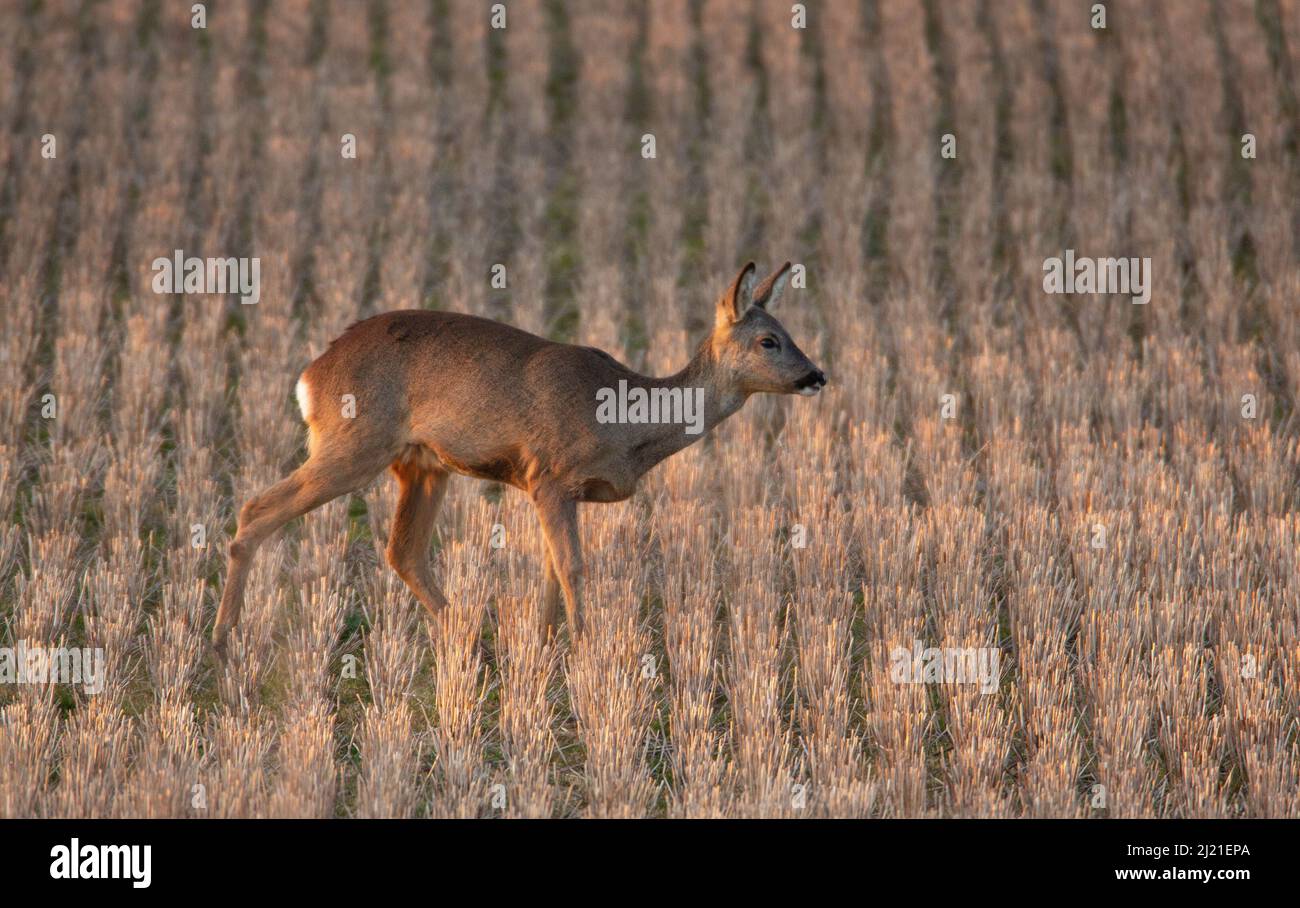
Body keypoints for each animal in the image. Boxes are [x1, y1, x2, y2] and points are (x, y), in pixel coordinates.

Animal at [211, 257, 821, 653]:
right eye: (768, 340)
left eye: (790, 332)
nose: (817, 375)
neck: (627, 423)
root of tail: (309, 377)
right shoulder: (550, 474)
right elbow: (572, 565)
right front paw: (586, 652)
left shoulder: (550, 488)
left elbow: (551, 567)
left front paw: (546, 647)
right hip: (354, 442)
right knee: (256, 510)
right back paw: (221, 640)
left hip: (421, 464)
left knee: (402, 551)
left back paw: (470, 639)